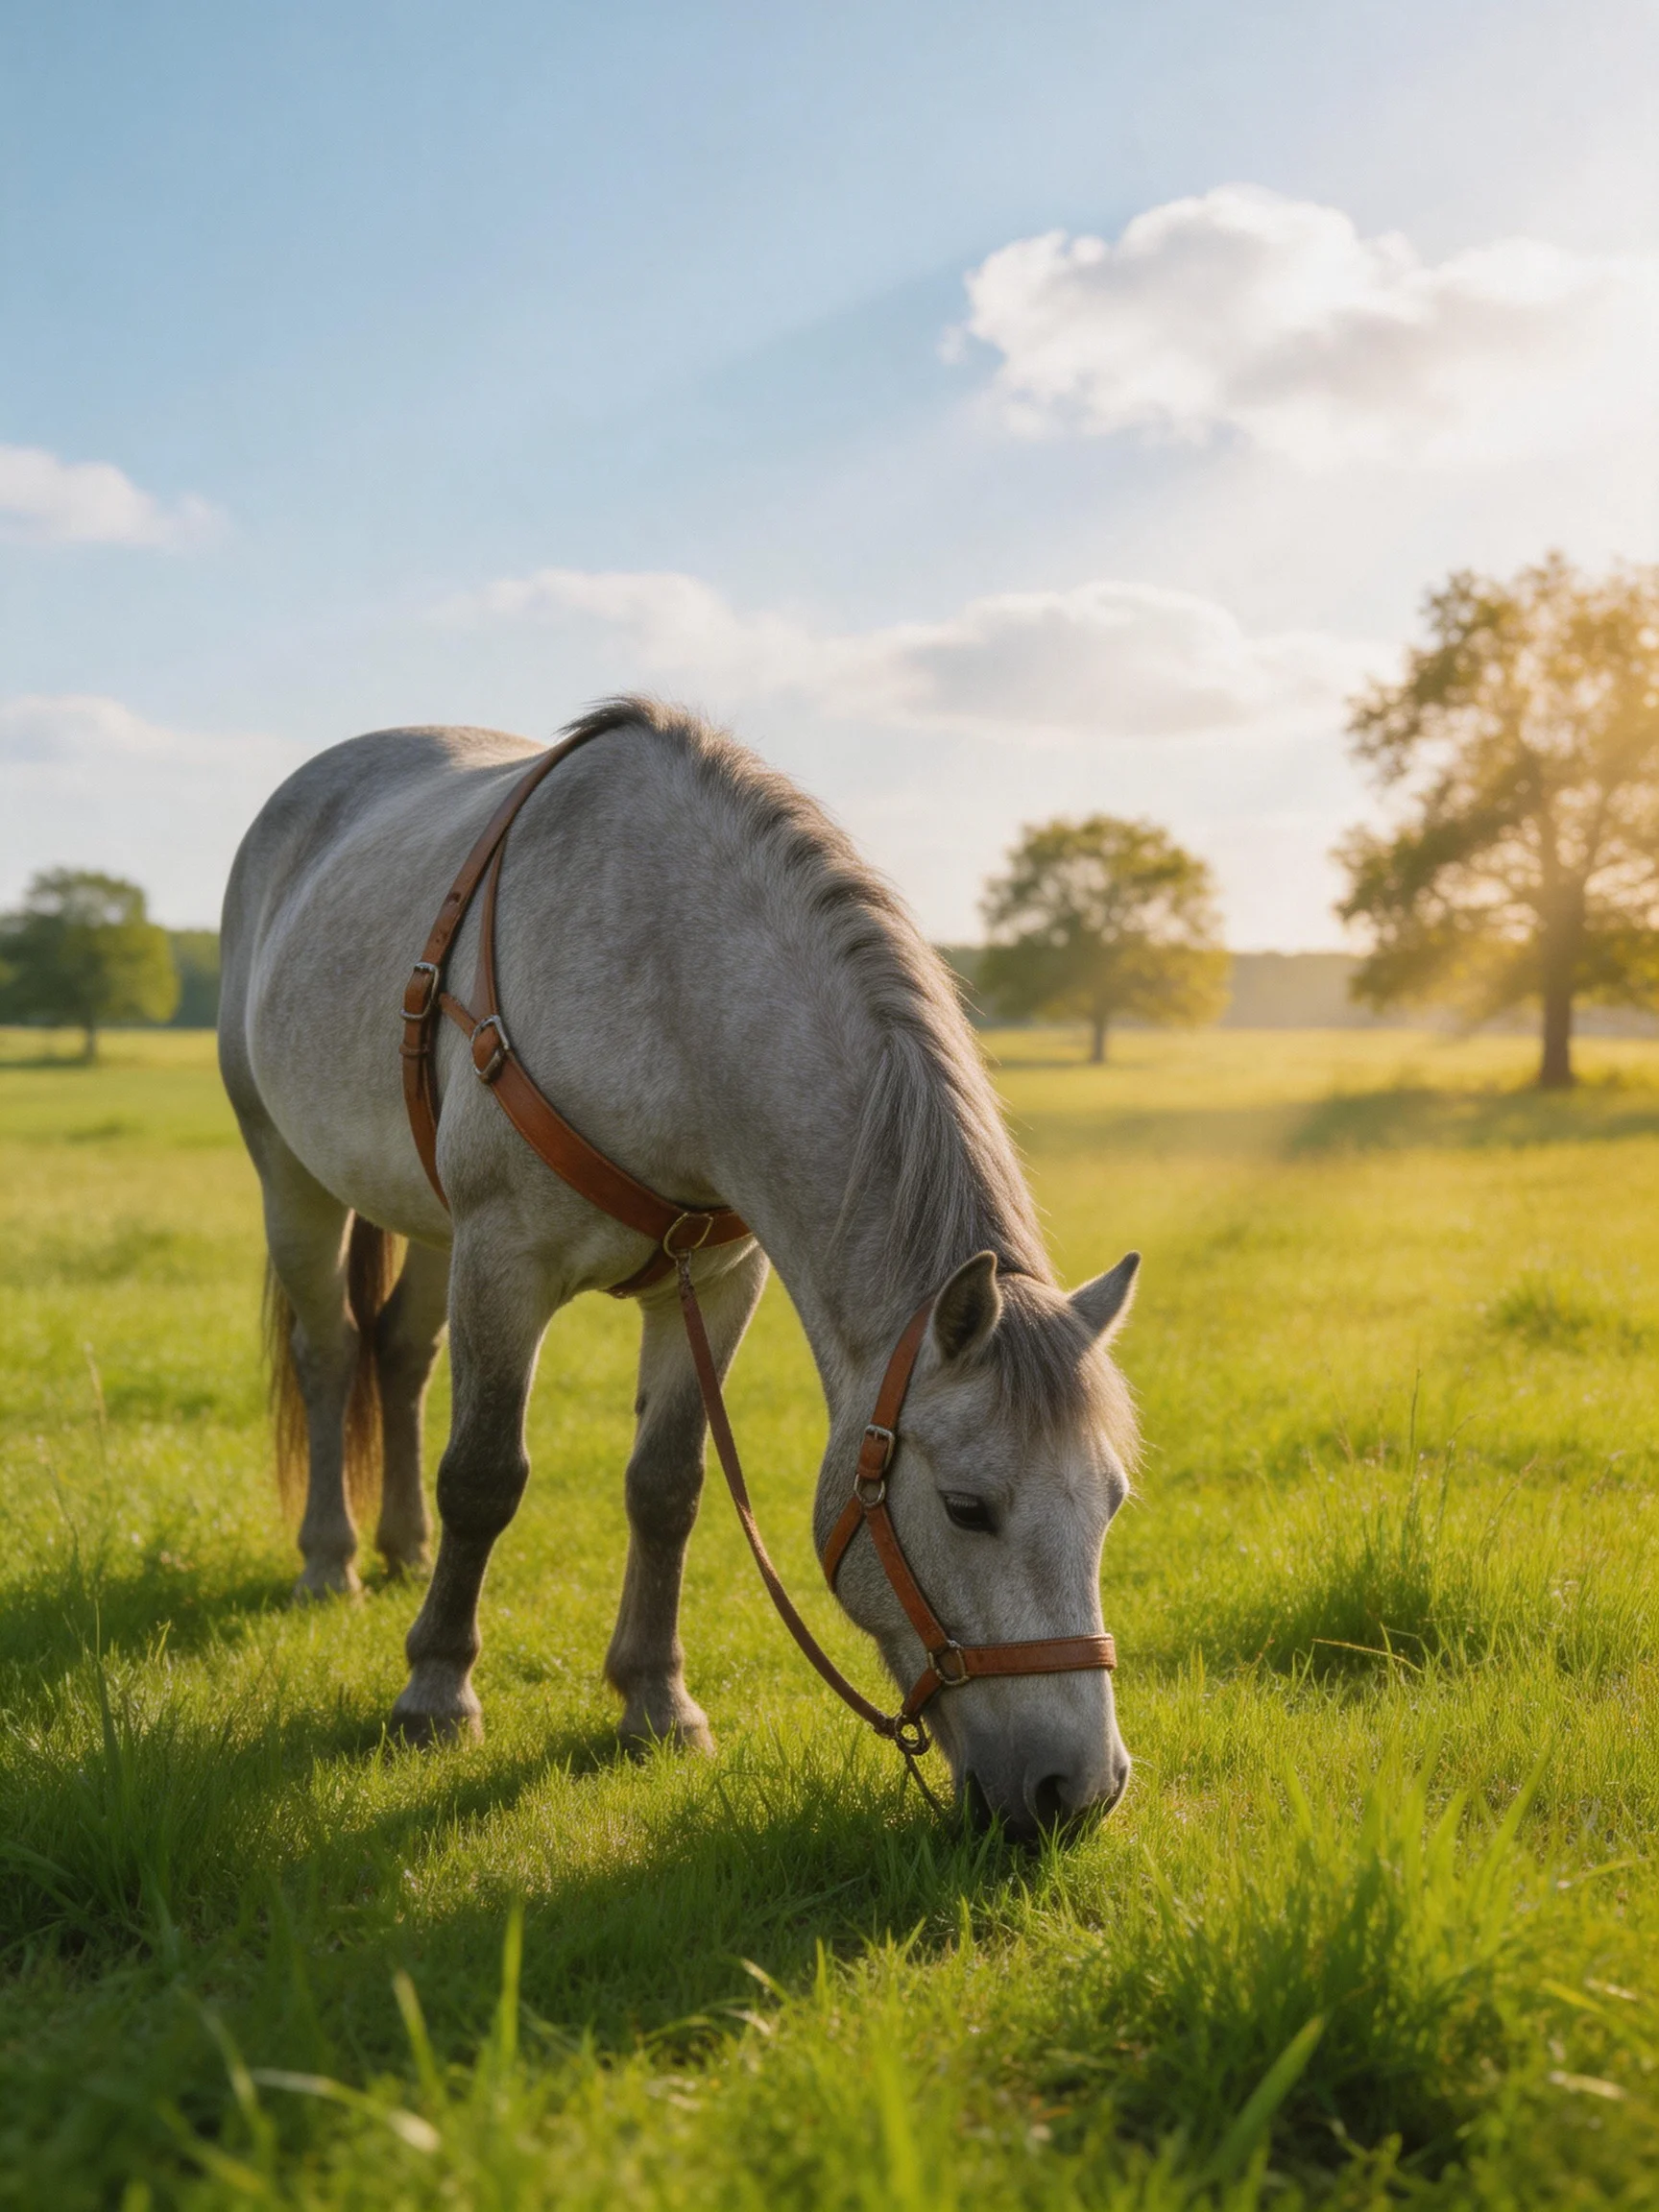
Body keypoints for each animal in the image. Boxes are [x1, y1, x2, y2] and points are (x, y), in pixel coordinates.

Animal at [218, 698, 1140, 1837]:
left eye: (1111, 1501)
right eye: (968, 1507)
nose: (1077, 1791)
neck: (670, 985)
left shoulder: (718, 1282)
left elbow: (667, 1488)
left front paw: (657, 1703)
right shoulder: (506, 1258)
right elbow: (484, 1476)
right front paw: (436, 1693)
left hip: (434, 1228)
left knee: (398, 1353)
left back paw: (405, 1548)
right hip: (292, 1178)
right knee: (332, 1352)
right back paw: (331, 1561)